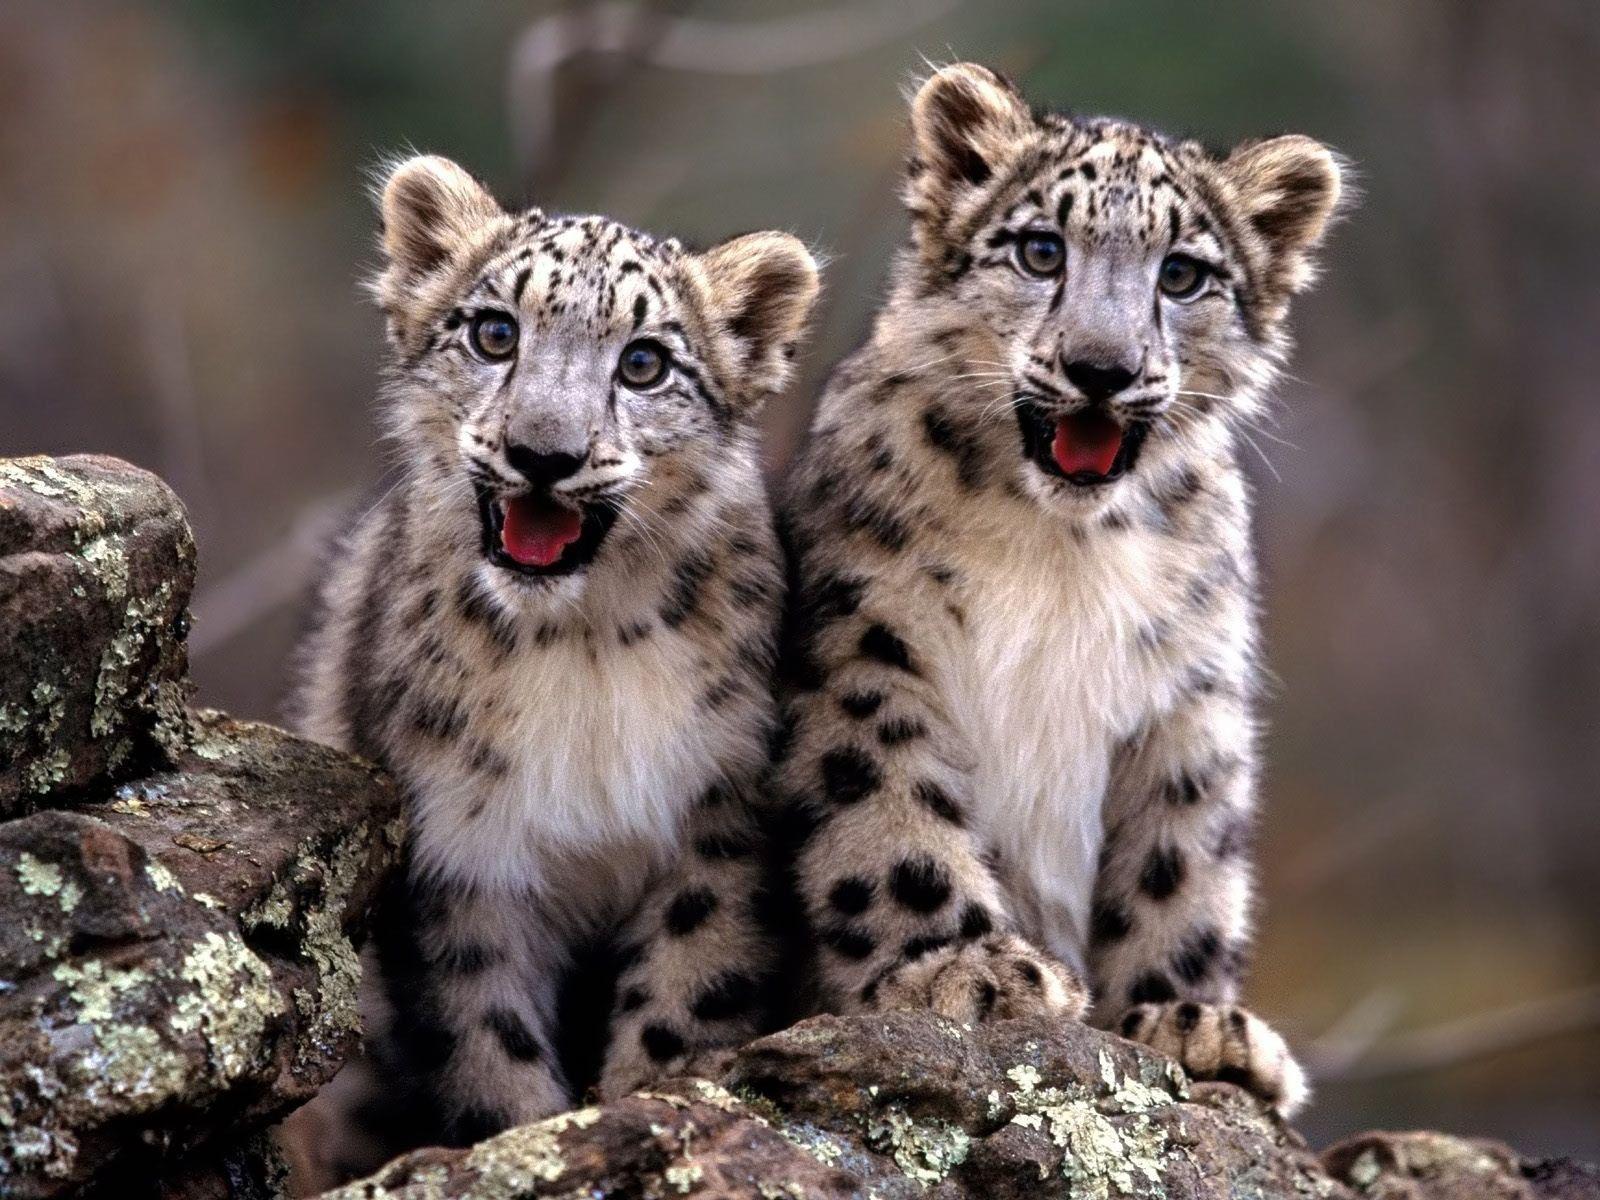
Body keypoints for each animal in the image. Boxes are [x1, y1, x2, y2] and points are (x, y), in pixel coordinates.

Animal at [281, 153, 818, 1184]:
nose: (543, 454)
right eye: (495, 332)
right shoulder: (460, 850)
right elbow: (488, 1040)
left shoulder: (717, 817)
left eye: (644, 362)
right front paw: (527, 1142)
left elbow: (684, 994)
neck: (581, 650)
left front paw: (646, 1104)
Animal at [774, 63, 1347, 1117]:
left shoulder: (1189, 691)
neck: (1061, 549)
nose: (1101, 368)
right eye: (1041, 249)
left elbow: (1180, 857)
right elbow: (887, 807)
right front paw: (962, 969)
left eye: (1182, 274)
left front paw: (1189, 1021)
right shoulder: (865, 642)